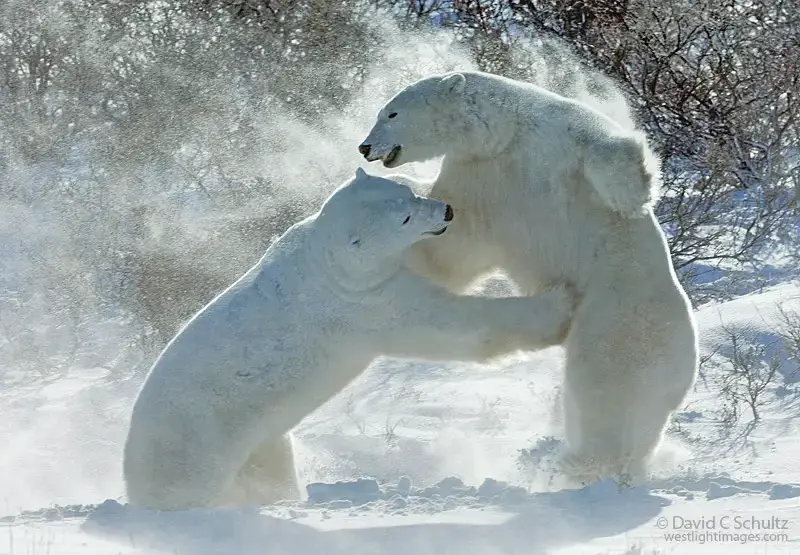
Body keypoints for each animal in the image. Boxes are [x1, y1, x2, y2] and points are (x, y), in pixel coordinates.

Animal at [123, 167, 576, 510]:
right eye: (403, 219)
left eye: (406, 194)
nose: (445, 210)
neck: (324, 260)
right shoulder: (364, 304)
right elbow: (450, 324)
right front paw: (560, 302)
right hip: (194, 446)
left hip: (257, 443)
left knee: (270, 463)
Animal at [360, 71, 696, 484]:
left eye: (391, 113)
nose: (364, 147)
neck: (500, 137)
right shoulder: (478, 180)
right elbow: (451, 249)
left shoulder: (558, 133)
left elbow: (609, 148)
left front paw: (633, 199)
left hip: (622, 319)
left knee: (604, 389)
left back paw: (577, 462)